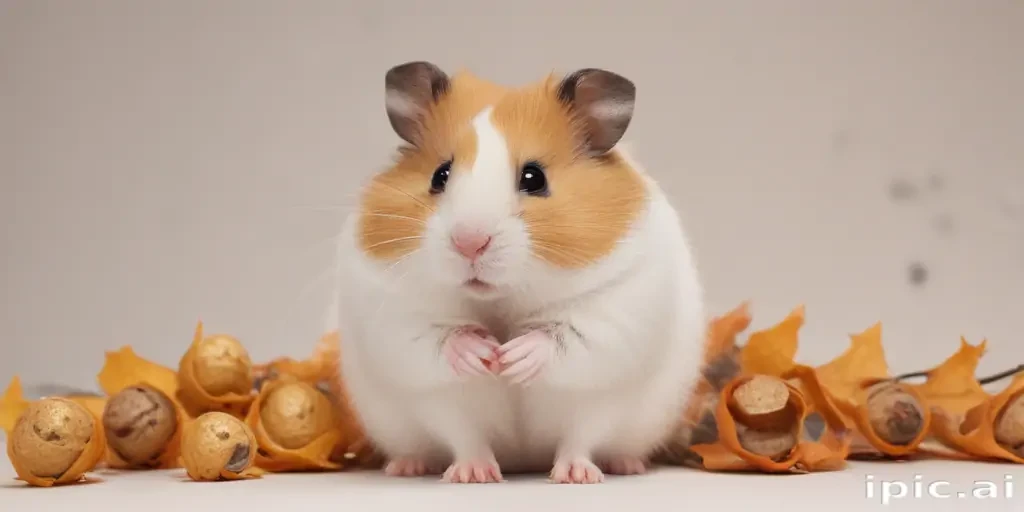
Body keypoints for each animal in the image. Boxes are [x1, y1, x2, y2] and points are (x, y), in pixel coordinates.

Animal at [333, 61, 706, 483]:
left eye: (534, 178)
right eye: (439, 175)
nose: (469, 242)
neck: (501, 299)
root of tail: (524, 460)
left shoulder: (613, 312)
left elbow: (562, 338)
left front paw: (511, 359)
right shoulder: (401, 324)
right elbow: (443, 348)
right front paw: (484, 355)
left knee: (581, 440)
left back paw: (594, 471)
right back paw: (439, 470)